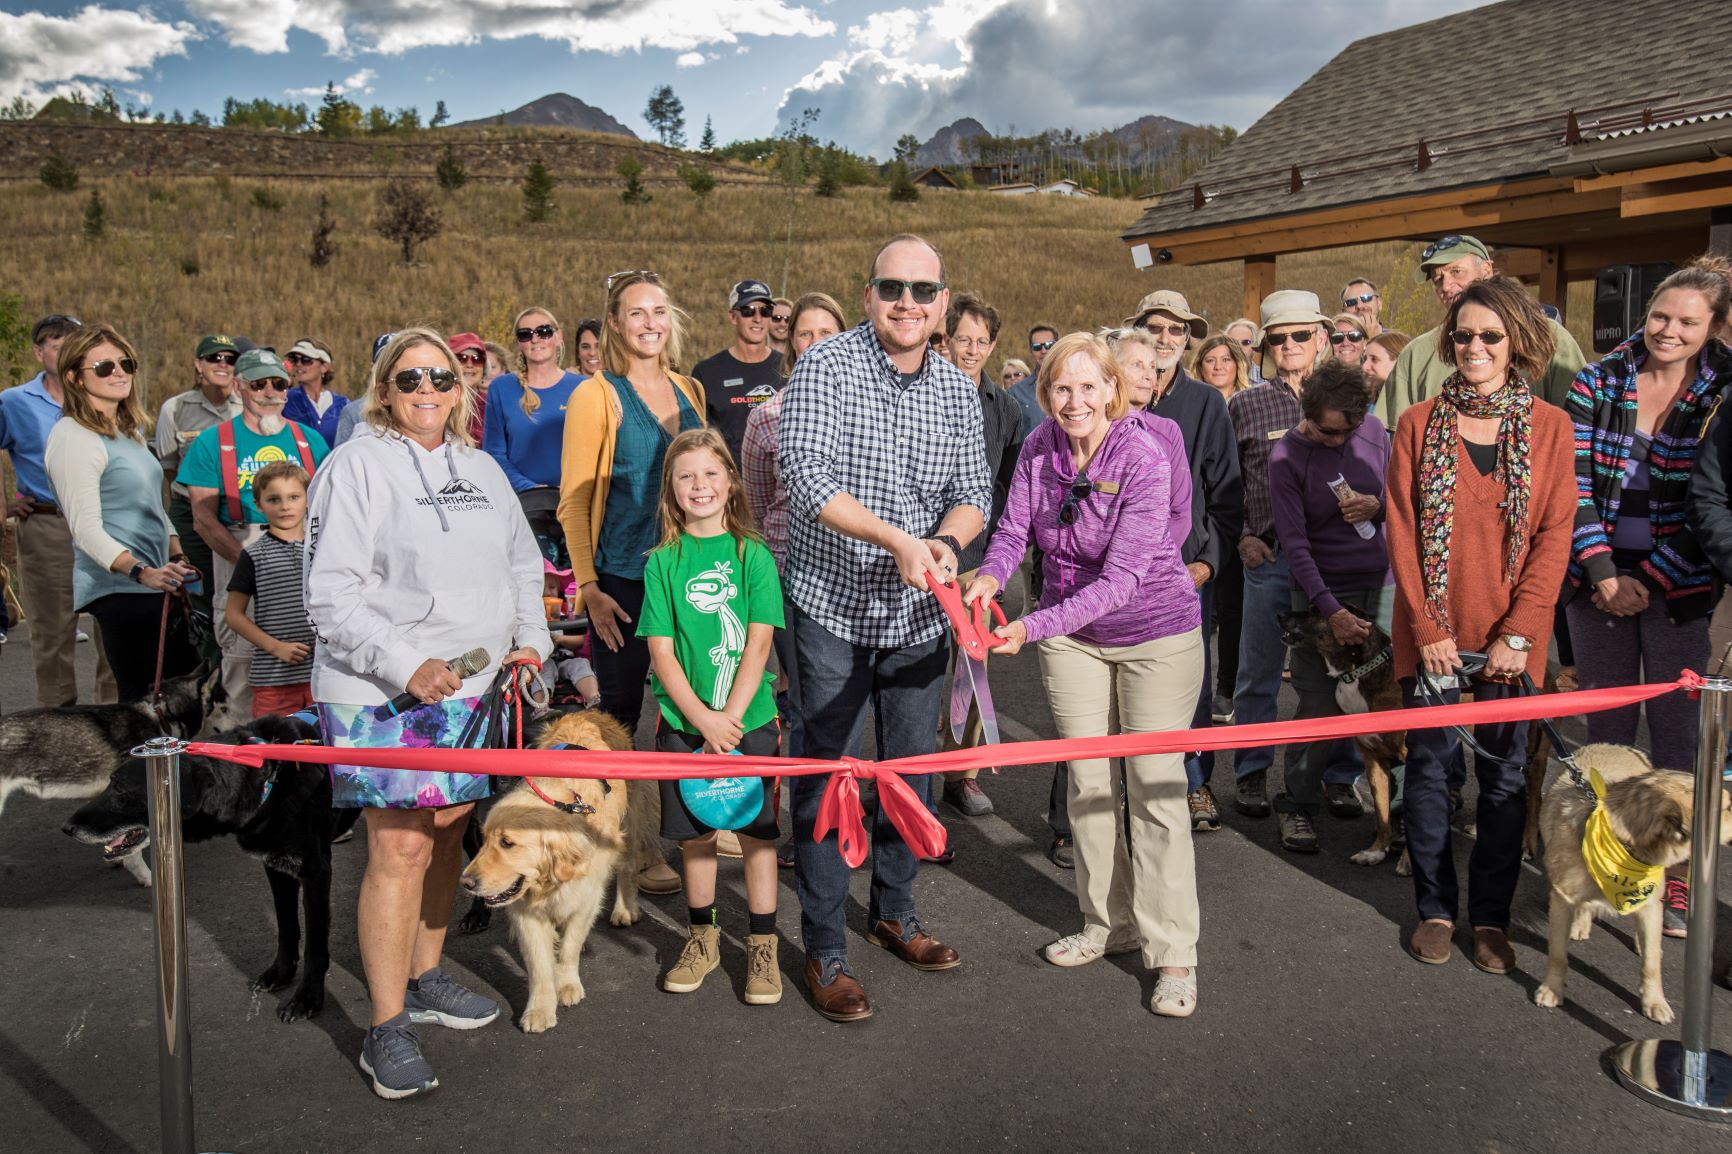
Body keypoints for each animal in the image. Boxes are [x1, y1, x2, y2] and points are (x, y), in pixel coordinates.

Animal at [64, 713, 358, 1018]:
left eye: (119, 787)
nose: (67, 827)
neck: (269, 778)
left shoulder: (315, 873)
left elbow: (315, 944)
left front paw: (307, 997)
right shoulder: (276, 868)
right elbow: (286, 926)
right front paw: (280, 974)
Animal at [1538, 738, 1725, 1018]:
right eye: (1726, 808)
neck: (1621, 843)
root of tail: (1615, 744)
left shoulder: (1649, 902)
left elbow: (1651, 964)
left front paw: (1655, 1001)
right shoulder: (1562, 898)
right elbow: (1557, 954)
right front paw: (1552, 989)